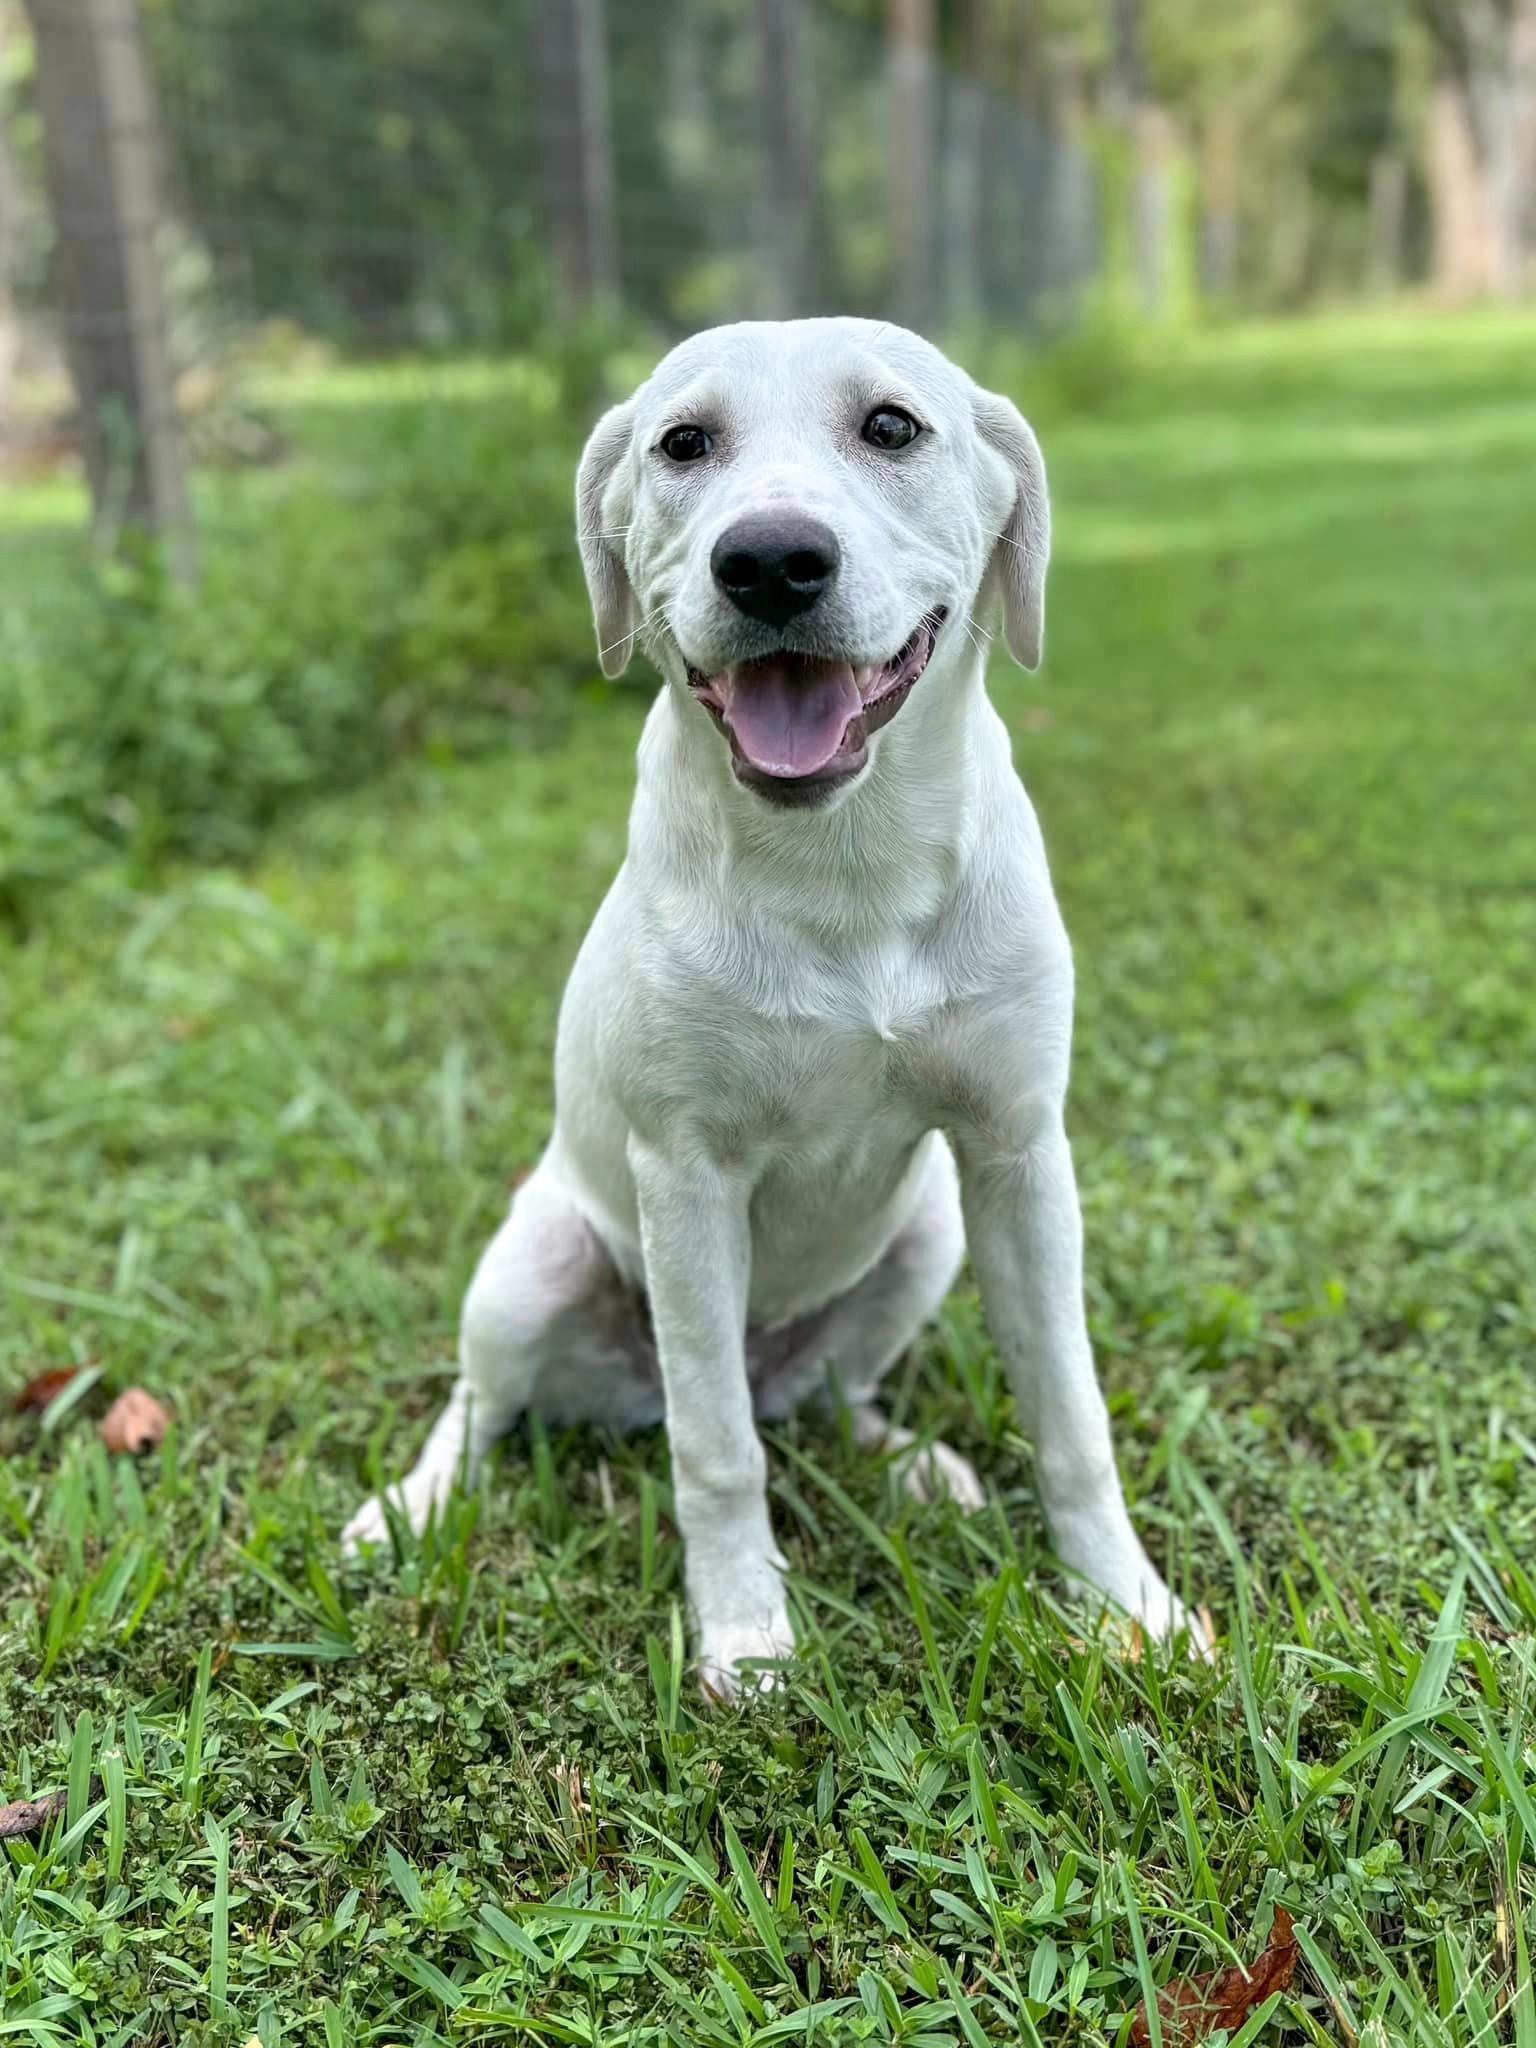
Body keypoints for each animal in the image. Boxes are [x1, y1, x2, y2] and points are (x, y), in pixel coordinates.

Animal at [346, 319, 1204, 1695]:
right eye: (682, 442)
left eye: (893, 426)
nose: (770, 562)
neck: (844, 865)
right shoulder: (689, 1174)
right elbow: (716, 1449)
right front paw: (745, 1629)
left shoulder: (1018, 1154)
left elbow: (1070, 1409)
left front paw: (1126, 1601)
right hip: (536, 1263)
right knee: (495, 1407)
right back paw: (412, 1507)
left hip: (927, 1232)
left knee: (825, 1395)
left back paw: (906, 1463)